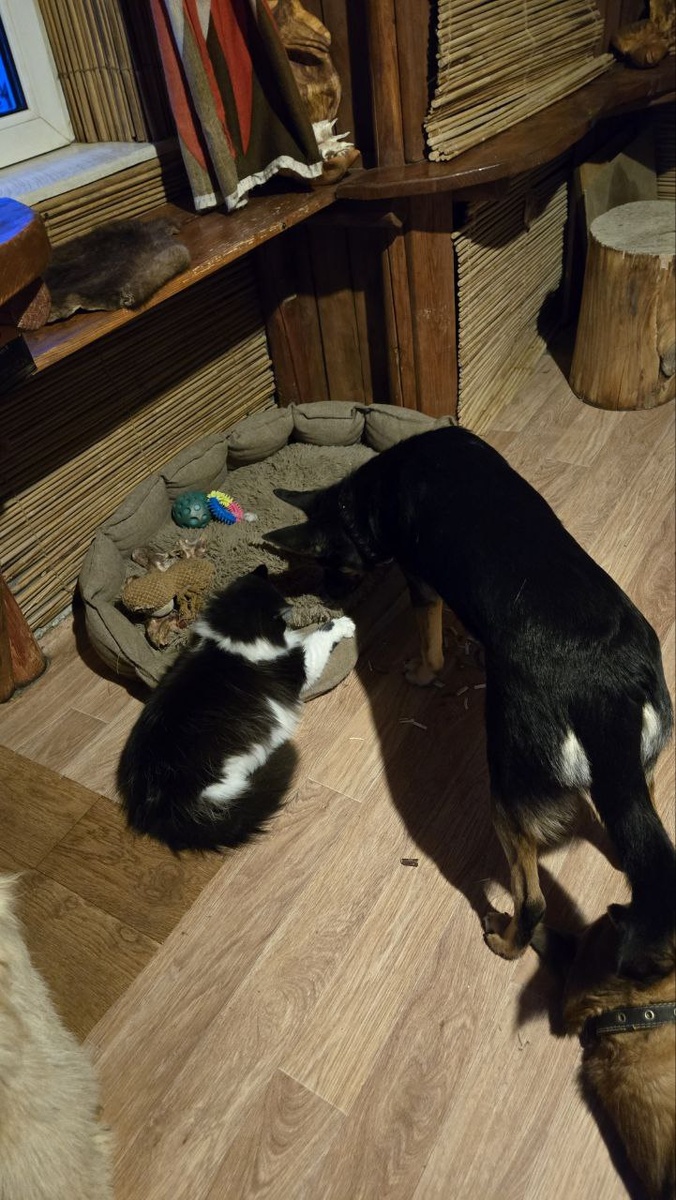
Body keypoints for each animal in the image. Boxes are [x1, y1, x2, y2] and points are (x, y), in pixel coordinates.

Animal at [117, 566, 355, 852]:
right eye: (282, 622)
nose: (288, 624)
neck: (231, 636)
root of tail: (160, 808)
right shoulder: (300, 665)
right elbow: (320, 635)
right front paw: (345, 624)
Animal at [265, 426, 675, 977]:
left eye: (331, 564)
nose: (327, 598)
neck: (370, 494)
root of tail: (604, 690)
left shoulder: (420, 583)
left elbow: (431, 646)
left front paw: (422, 673)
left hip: (506, 786)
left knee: (532, 901)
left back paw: (506, 941)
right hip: (640, 764)